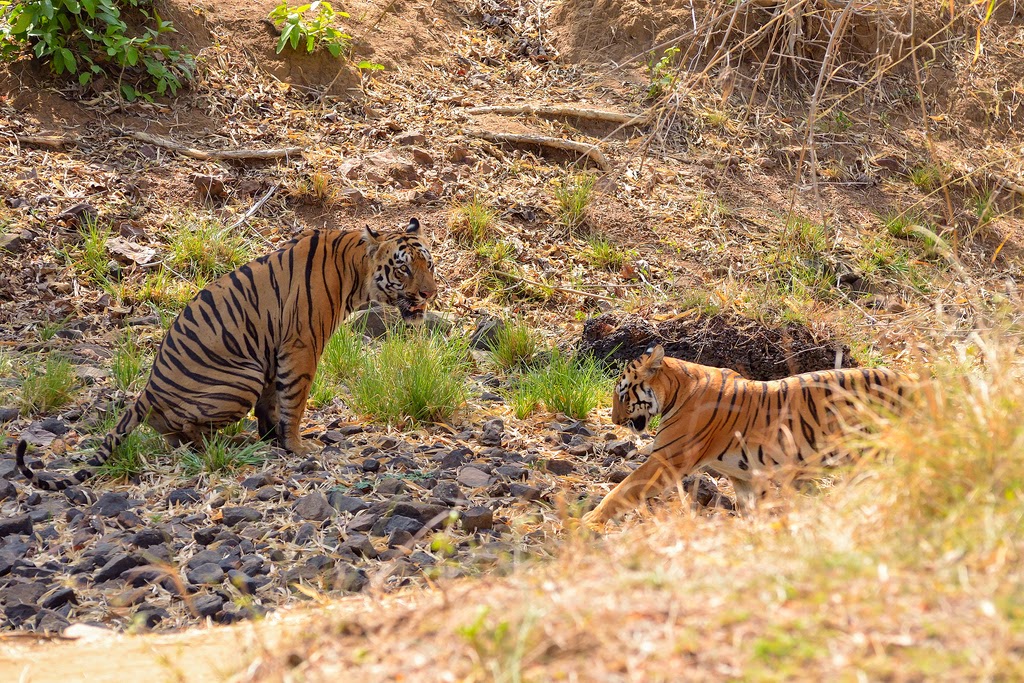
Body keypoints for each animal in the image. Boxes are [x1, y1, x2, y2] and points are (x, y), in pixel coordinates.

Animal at [17, 216, 436, 489]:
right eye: (402, 269)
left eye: (428, 264)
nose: (429, 293)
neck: (355, 274)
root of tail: (147, 391)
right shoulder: (301, 347)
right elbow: (295, 401)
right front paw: (297, 446)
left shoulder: (272, 351)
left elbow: (273, 403)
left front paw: (272, 438)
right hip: (240, 376)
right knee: (189, 433)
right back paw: (230, 444)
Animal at [581, 344, 909, 528]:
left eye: (623, 395)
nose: (614, 419)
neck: (675, 389)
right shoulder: (745, 476)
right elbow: (753, 508)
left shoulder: (666, 460)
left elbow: (622, 489)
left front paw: (590, 519)